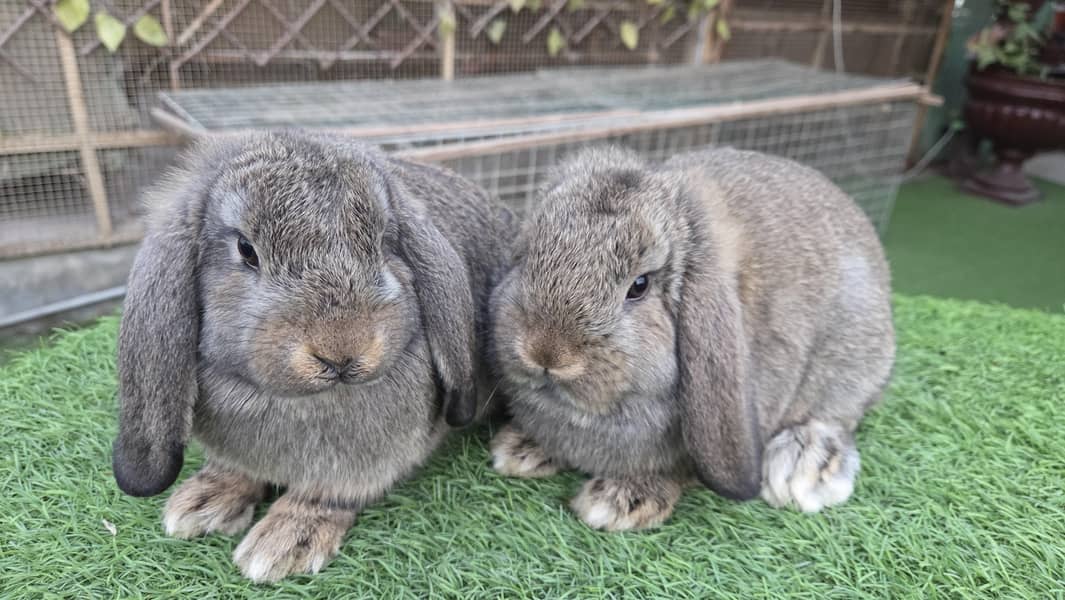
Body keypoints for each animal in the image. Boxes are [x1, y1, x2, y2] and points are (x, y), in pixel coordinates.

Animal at [111, 130, 514, 582]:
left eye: (383, 242)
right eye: (246, 249)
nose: (341, 350)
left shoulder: (363, 463)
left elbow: (327, 494)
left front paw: (285, 542)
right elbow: (237, 471)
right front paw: (203, 501)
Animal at [488, 145, 894, 531]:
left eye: (639, 286)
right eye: (527, 257)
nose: (546, 353)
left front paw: (618, 503)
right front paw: (519, 450)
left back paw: (802, 466)